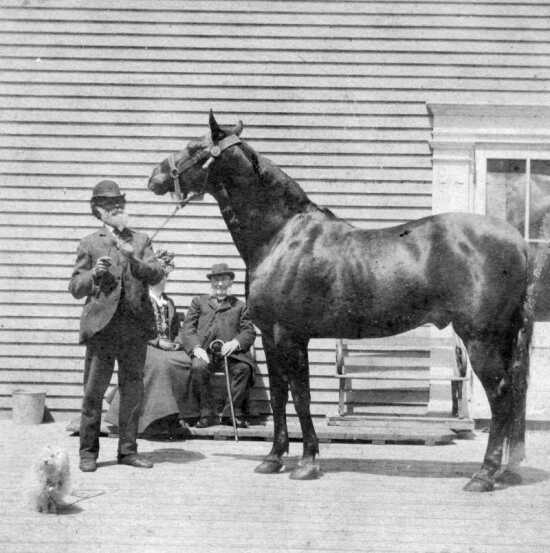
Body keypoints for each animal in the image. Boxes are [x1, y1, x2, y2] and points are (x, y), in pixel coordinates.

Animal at [148, 112, 536, 492]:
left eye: (193, 147)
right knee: (515, 392)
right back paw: (505, 470)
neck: (281, 236)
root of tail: (519, 242)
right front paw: (273, 458)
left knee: (501, 395)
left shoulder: (290, 336)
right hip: (503, 337)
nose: (155, 176)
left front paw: (307, 463)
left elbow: (301, 397)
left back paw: (484, 474)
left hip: (481, 337)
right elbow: (279, 397)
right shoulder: (271, 337)